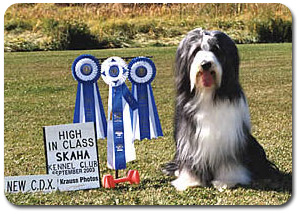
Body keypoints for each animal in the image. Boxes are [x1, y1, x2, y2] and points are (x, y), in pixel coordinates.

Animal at [162, 28, 282, 191]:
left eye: (216, 49)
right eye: (196, 50)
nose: (206, 64)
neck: (208, 95)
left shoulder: (229, 138)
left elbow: (229, 162)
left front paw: (227, 181)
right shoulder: (189, 138)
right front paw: (190, 181)